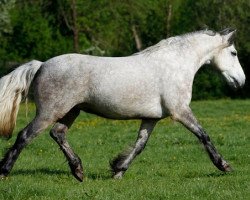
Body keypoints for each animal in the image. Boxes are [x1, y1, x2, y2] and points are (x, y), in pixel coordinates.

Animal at [0, 27, 245, 182]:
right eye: (233, 53)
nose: (241, 82)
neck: (175, 64)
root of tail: (41, 65)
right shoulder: (180, 111)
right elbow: (203, 135)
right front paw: (223, 165)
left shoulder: (151, 118)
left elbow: (139, 146)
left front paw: (118, 171)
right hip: (50, 112)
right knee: (25, 136)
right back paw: (4, 171)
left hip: (71, 111)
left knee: (58, 133)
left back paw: (79, 171)